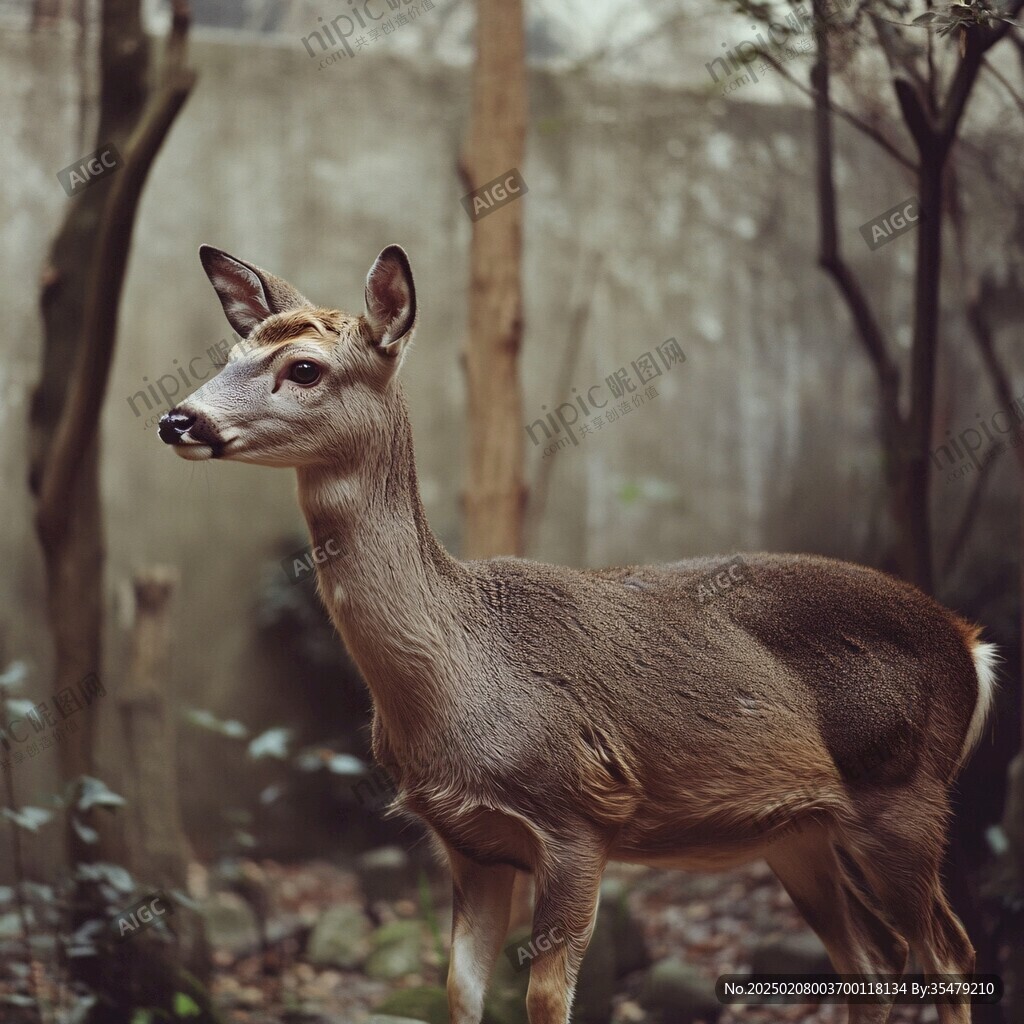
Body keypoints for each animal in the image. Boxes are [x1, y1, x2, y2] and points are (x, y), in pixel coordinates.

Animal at [159, 241, 999, 1024]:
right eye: (229, 355)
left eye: (302, 367)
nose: (178, 418)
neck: (457, 672)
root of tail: (971, 646)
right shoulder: (468, 843)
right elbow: (460, 991)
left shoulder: (578, 814)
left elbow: (542, 997)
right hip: (801, 831)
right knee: (874, 958)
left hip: (904, 793)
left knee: (950, 953)